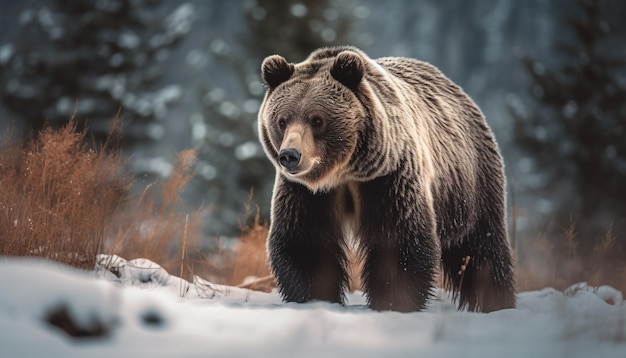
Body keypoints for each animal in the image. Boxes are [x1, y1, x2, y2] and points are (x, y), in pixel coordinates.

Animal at [256, 46, 516, 312]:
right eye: (282, 120)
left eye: (317, 119)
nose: (290, 155)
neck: (345, 171)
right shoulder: (307, 192)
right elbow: (306, 243)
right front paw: (314, 298)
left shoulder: (389, 177)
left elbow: (397, 242)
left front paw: (395, 301)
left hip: (470, 184)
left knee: (482, 246)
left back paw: (496, 300)